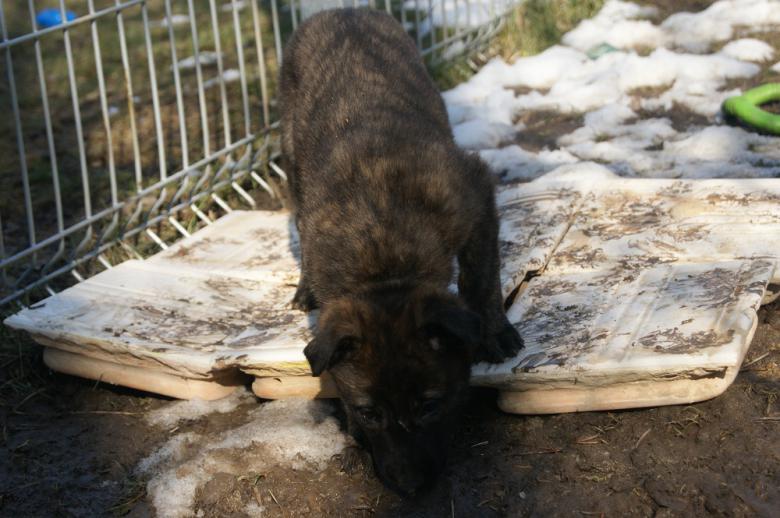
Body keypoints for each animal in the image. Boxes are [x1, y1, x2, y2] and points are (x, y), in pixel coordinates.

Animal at [279, 9, 522, 495]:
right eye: (368, 411)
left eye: (430, 405)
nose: (410, 487)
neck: (383, 261)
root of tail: (341, 10)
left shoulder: (475, 194)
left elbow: (481, 276)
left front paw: (494, 332)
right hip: (291, 156)